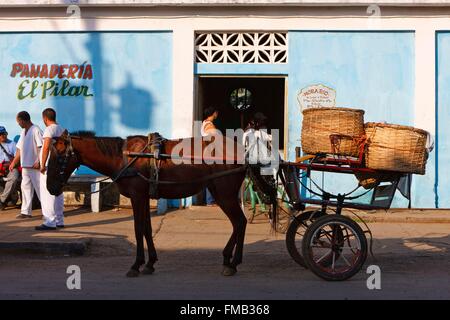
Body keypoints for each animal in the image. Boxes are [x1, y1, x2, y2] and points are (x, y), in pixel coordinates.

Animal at [47, 131, 255, 276]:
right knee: (239, 223)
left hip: (225, 194)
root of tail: (240, 153)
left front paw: (136, 265)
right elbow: (147, 228)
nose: (50, 187)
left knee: (240, 222)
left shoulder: (137, 196)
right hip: (219, 192)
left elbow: (138, 228)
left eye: (59, 157)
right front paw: (150, 263)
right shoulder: (144, 197)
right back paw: (229, 259)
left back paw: (232, 262)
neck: (123, 157)